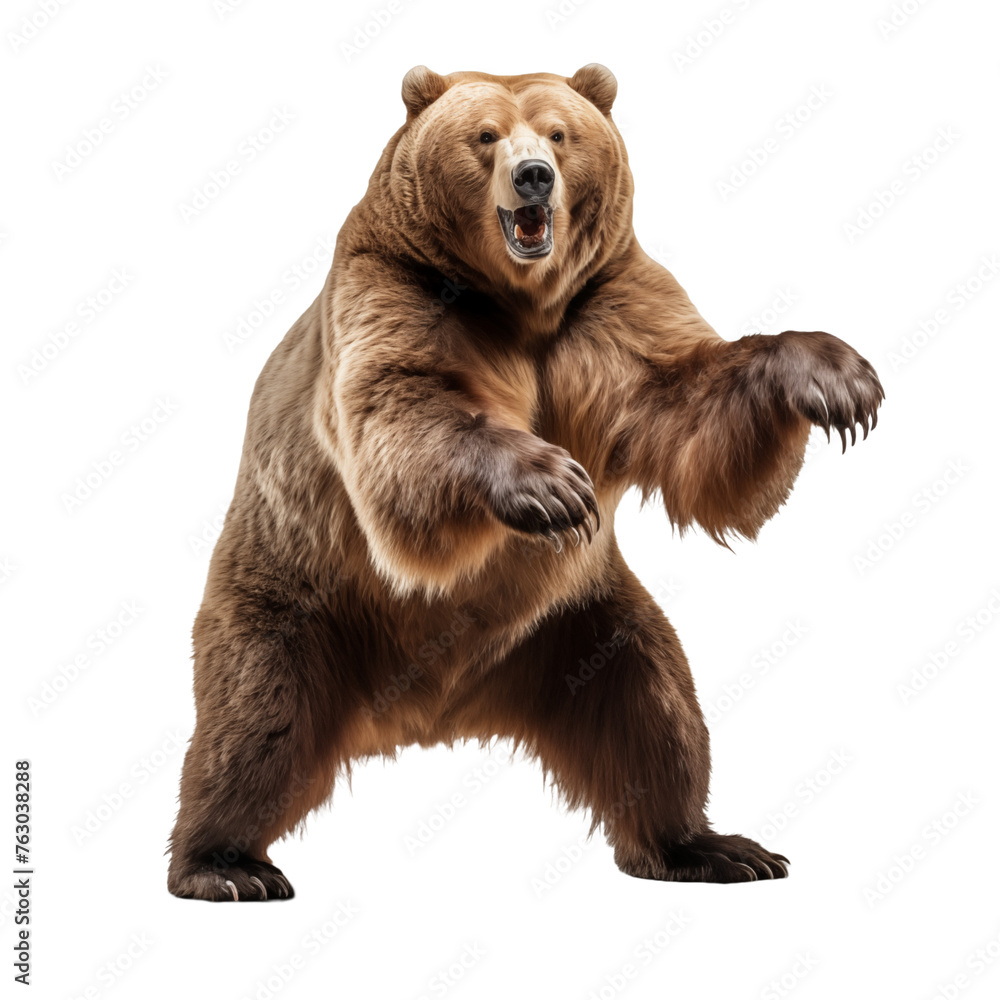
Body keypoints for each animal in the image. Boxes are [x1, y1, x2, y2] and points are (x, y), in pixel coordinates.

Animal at [167, 64, 883, 900]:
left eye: (558, 133)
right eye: (485, 136)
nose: (534, 175)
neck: (518, 305)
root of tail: (423, 714)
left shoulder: (607, 310)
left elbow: (689, 412)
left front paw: (832, 374)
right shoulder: (395, 290)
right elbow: (401, 407)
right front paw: (550, 485)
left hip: (581, 627)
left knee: (656, 711)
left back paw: (711, 847)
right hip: (299, 599)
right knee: (255, 720)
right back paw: (225, 864)